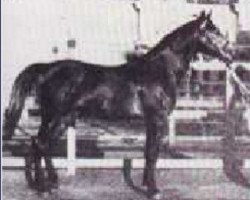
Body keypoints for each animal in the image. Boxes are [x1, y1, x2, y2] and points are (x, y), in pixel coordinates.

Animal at [3, 11, 232, 198]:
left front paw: (146, 185)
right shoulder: (156, 118)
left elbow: (149, 151)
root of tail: (46, 68)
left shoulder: (151, 121)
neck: (159, 70)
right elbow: (152, 153)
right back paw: (43, 187)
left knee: (41, 145)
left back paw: (50, 183)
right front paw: (153, 190)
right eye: (214, 32)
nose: (230, 56)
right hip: (55, 116)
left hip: (62, 119)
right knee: (40, 144)